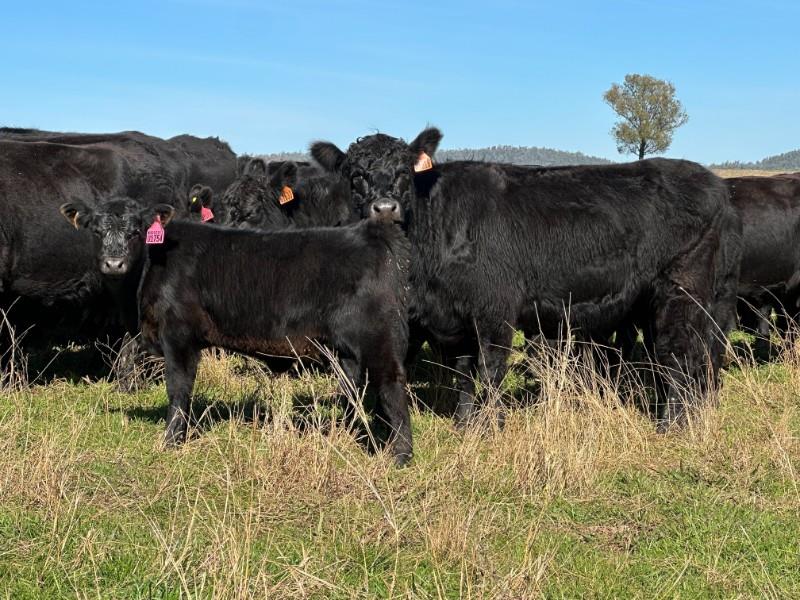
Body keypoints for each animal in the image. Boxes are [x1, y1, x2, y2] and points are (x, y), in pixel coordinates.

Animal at [57, 196, 414, 464]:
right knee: (355, 389)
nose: (113, 263)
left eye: (136, 231)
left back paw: (400, 455)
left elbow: (179, 389)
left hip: (378, 339)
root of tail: (369, 233)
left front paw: (171, 441)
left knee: (391, 386)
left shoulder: (179, 335)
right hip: (347, 351)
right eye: (96, 230)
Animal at [311, 127, 742, 432]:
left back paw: (672, 424)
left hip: (681, 290)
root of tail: (711, 181)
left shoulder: (494, 309)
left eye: (403, 172)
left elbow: (490, 370)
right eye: (355, 175)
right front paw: (465, 424)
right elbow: (464, 372)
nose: (384, 208)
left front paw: (489, 426)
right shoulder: (456, 314)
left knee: (679, 354)